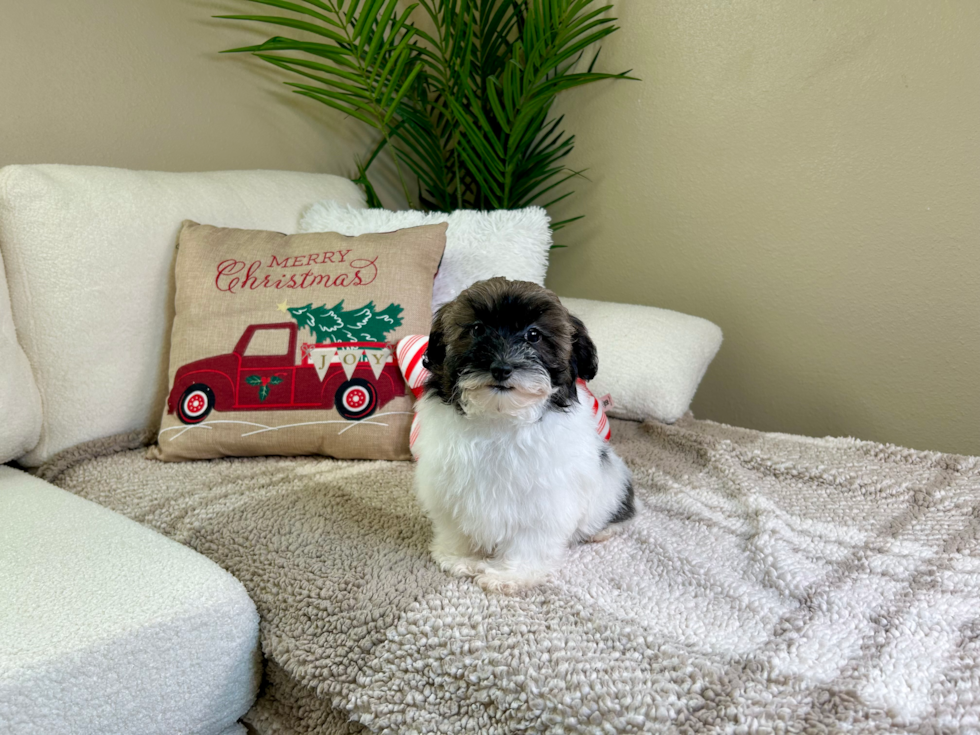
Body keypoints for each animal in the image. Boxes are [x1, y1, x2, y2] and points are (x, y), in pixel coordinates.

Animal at [414, 276, 636, 592]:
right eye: (477, 329)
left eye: (534, 335)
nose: (502, 368)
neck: (500, 417)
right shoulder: (450, 484)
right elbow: (457, 523)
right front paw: (460, 557)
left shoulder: (544, 500)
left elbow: (530, 538)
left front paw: (511, 574)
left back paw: (601, 531)